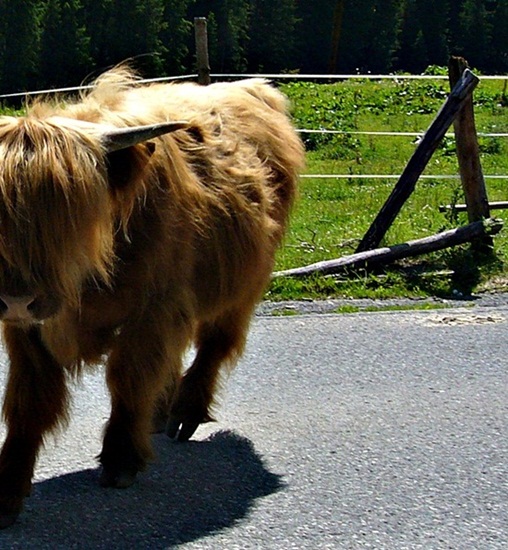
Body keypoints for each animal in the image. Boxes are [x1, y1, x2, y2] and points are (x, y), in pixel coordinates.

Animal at [0, 70, 304, 532]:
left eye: (71, 214)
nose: (19, 298)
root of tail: (253, 87)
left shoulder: (153, 309)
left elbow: (130, 379)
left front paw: (122, 460)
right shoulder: (26, 332)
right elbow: (26, 404)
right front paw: (6, 490)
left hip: (244, 283)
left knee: (215, 345)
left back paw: (184, 412)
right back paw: (161, 414)